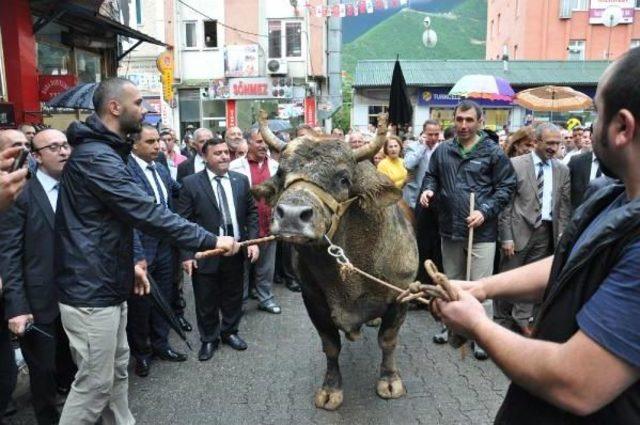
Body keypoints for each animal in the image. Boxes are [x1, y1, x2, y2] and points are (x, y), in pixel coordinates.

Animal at [255, 111, 420, 410]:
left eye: (343, 179)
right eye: (281, 173)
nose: (292, 215)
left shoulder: (400, 296)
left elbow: (388, 341)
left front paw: (389, 380)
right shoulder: (313, 300)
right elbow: (331, 346)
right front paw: (331, 388)